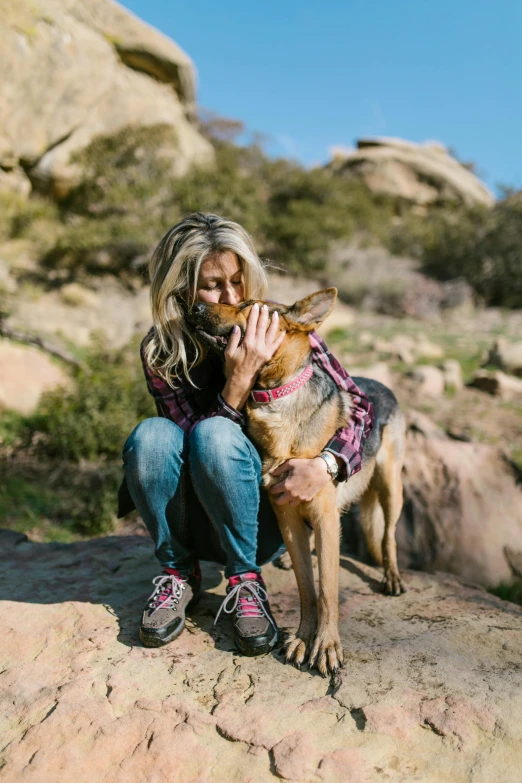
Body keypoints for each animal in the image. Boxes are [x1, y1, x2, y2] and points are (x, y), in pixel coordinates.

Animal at [189, 290, 404, 676]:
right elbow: (307, 587)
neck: (276, 395)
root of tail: (381, 383)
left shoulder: (325, 514)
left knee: (389, 534)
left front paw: (327, 645)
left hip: (392, 487)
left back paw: (391, 575)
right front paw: (304, 637)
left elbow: (328, 588)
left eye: (247, 306)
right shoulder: (287, 517)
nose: (194, 307)